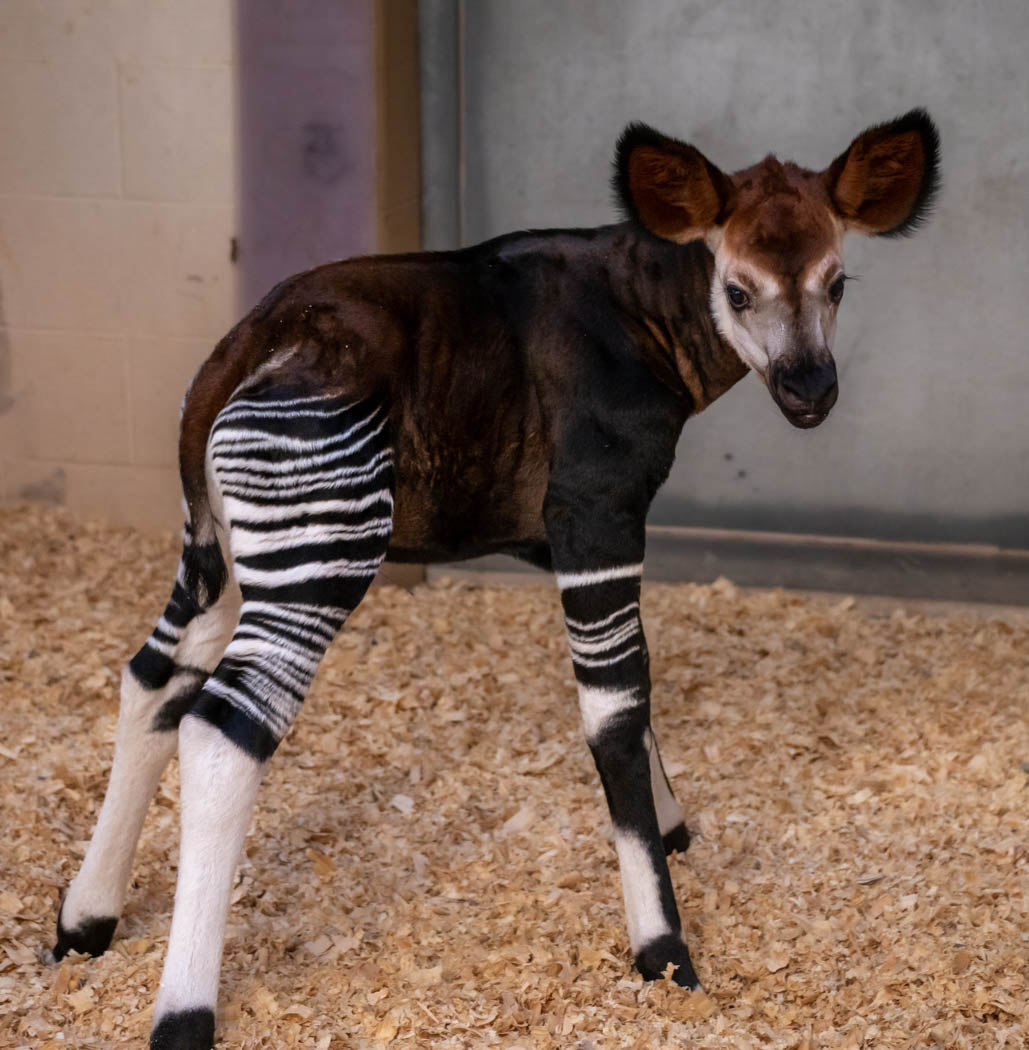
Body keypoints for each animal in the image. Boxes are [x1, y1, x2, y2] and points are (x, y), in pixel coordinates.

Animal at [54, 108, 940, 1050]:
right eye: (737, 292)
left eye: (837, 283)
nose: (811, 390)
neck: (648, 313)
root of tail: (251, 337)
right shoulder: (596, 511)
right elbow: (615, 714)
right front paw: (662, 947)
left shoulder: (585, 537)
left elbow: (636, 694)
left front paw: (670, 829)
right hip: (322, 546)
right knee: (224, 727)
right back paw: (183, 1012)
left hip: (218, 551)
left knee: (153, 680)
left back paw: (84, 920)